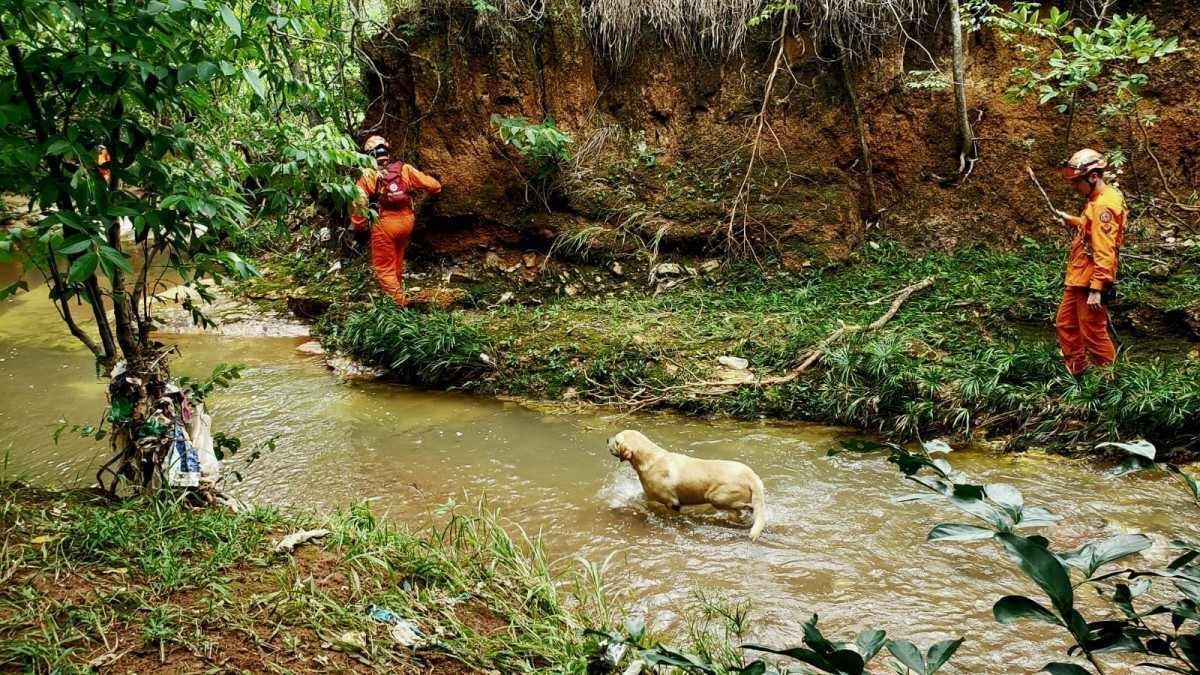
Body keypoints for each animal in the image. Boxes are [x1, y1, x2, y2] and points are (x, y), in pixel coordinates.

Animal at [609, 427, 768, 538]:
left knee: (748, 507)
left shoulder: (671, 502)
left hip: (716, 498)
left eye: (616, 441)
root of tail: (751, 475)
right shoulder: (649, 495)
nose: (606, 440)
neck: (651, 459)